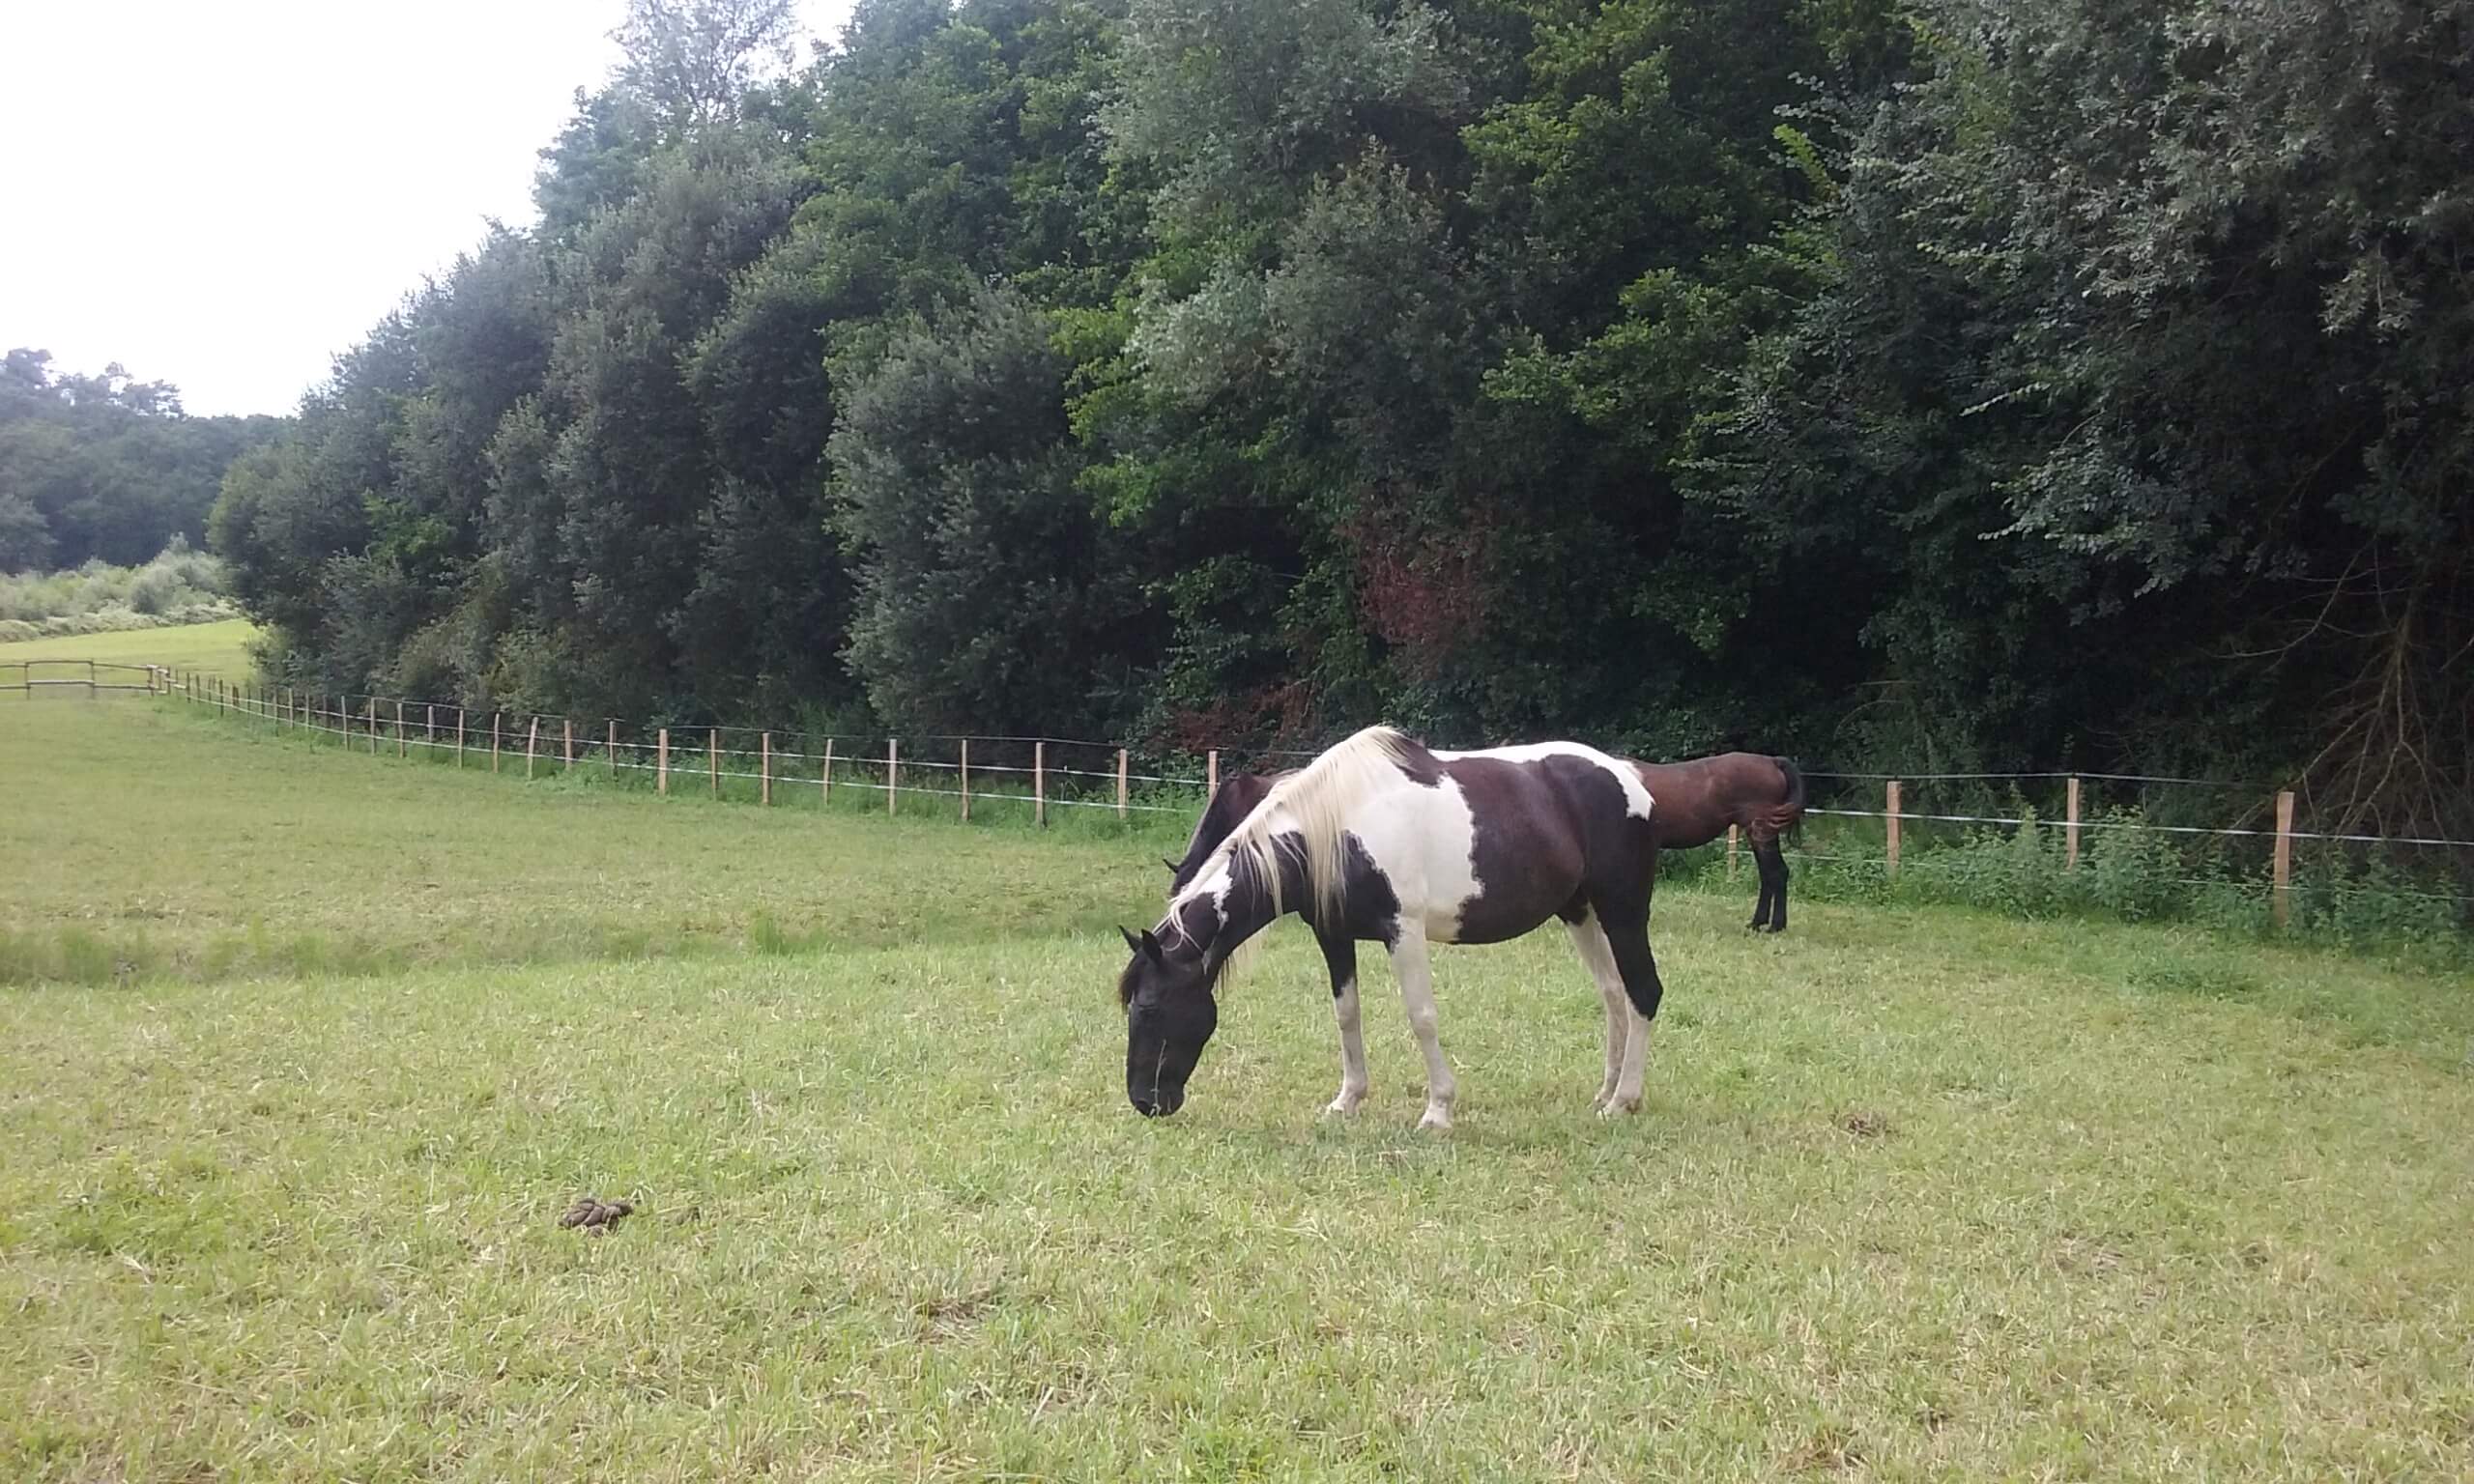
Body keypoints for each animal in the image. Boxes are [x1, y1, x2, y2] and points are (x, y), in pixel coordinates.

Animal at [1116, 725, 1671, 1131]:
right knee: (1613, 992)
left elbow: (1421, 1016)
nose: (1146, 1102)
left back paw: (1622, 1102)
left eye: (1150, 1008)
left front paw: (1438, 1111)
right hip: (1580, 911)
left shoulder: (1402, 932)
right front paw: (1347, 1101)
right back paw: (1606, 1091)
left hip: (1623, 909)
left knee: (1643, 991)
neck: (1334, 830)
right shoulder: (1333, 935)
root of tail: (1631, 782)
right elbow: (1346, 1015)